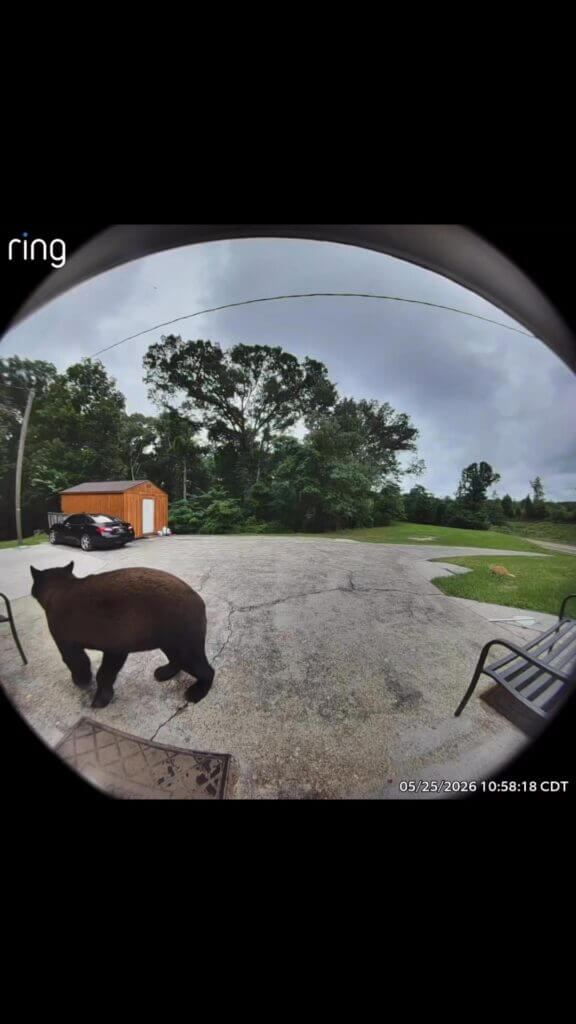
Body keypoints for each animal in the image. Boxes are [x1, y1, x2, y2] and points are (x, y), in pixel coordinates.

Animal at [30, 562, 215, 709]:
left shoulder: (64, 634)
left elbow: (75, 659)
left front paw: (83, 681)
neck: (58, 588)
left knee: (197, 664)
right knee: (177, 657)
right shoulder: (116, 639)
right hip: (170, 637)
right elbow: (109, 665)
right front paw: (103, 694)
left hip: (182, 633)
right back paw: (165, 671)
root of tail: (199, 601)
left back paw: (197, 691)